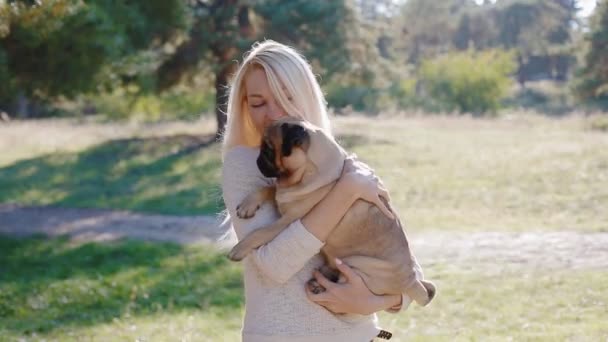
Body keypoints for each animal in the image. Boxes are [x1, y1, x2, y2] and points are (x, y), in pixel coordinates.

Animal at [226, 117, 434, 304]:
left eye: (268, 149)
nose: (258, 160)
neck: (306, 174)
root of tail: (412, 283)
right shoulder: (282, 191)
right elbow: (267, 188)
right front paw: (248, 204)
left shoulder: (288, 221)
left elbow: (261, 232)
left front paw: (240, 247)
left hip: (358, 264)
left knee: (343, 281)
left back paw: (320, 285)